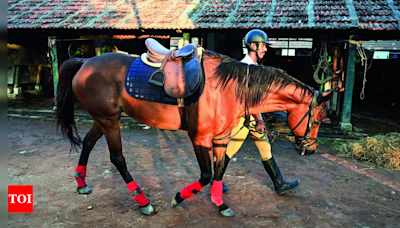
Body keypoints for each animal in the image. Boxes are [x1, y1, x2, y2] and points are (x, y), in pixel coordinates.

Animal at [55, 50, 332, 217]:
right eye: (318, 119)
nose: (311, 149)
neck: (229, 89)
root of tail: (85, 62)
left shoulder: (221, 138)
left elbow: (219, 170)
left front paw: (220, 203)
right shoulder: (199, 138)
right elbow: (206, 175)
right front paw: (179, 197)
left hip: (103, 118)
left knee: (87, 144)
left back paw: (81, 183)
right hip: (109, 120)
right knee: (117, 158)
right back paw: (143, 201)